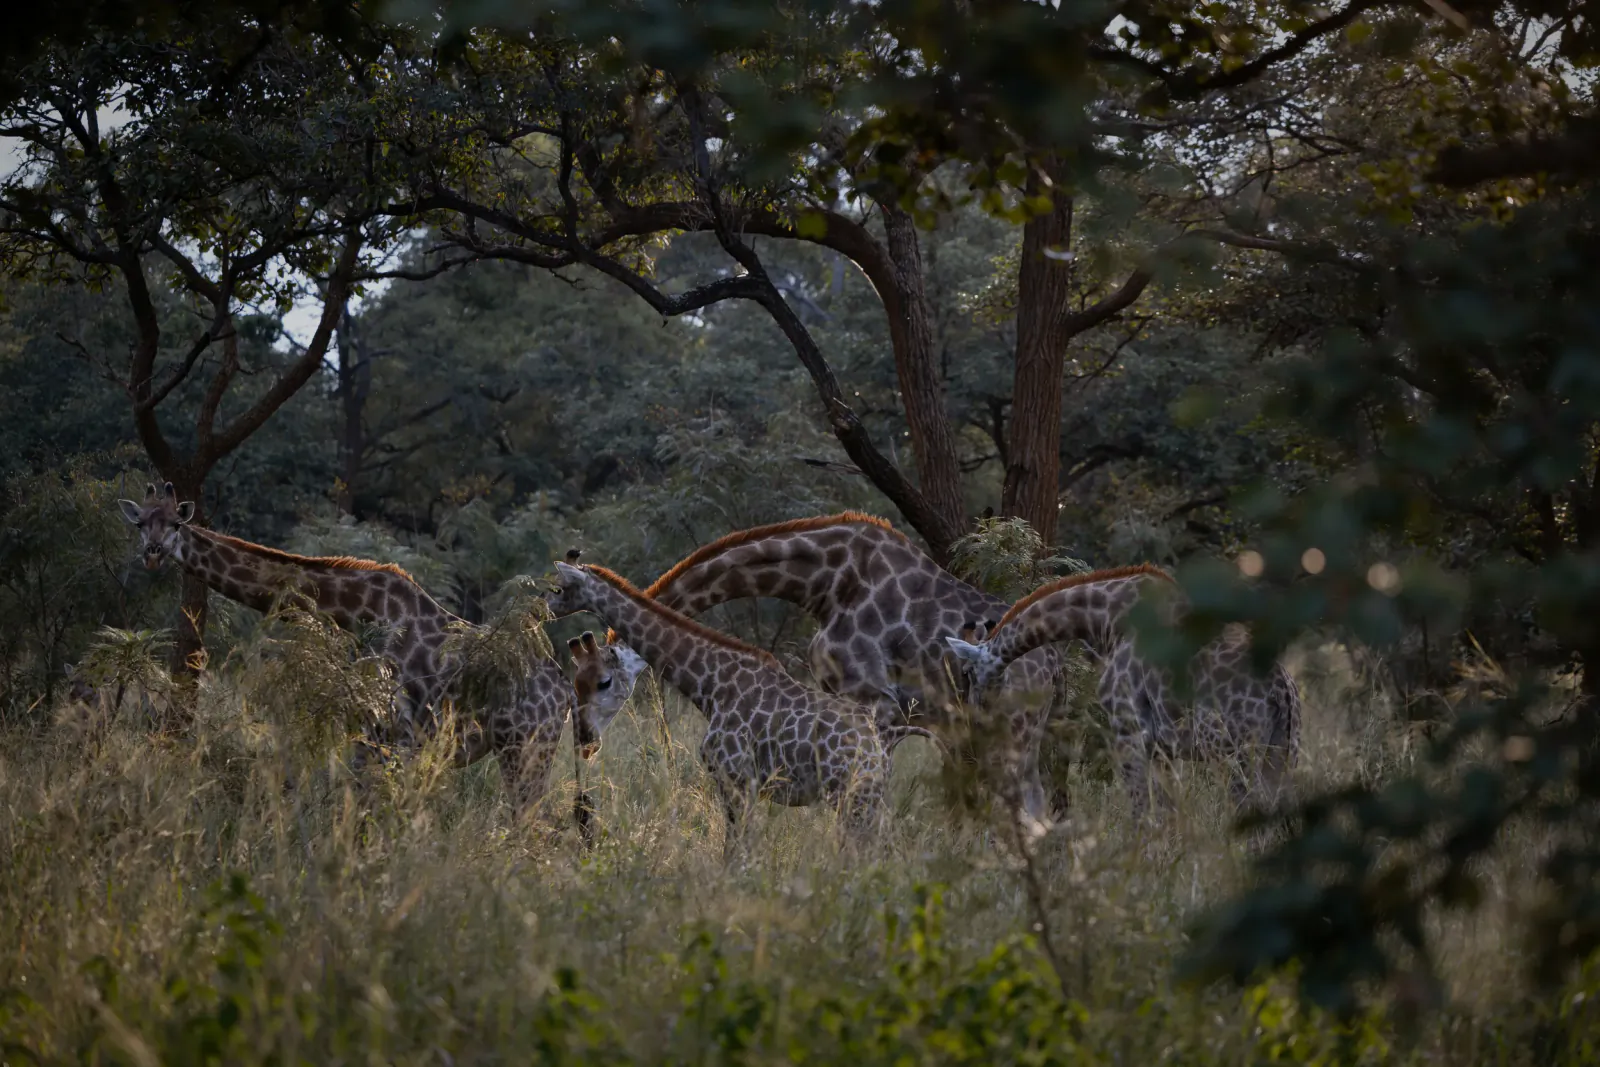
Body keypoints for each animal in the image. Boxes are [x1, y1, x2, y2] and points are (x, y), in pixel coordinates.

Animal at [116, 481, 645, 812]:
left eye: (176, 524)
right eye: (140, 523)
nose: (153, 554)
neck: (351, 611)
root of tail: (561, 691)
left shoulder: (394, 734)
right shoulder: (369, 735)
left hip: (525, 746)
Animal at [545, 559, 890, 851]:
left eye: (559, 587)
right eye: (576, 685)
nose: (585, 740)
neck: (712, 682)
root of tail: (874, 743)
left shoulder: (737, 779)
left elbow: (737, 853)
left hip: (853, 795)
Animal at [942, 564, 1301, 820]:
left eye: (967, 672)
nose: (975, 717)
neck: (1105, 620)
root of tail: (1281, 689)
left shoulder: (1128, 730)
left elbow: (1141, 813)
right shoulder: (1164, 749)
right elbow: (1170, 815)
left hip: (1230, 751)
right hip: (1283, 752)